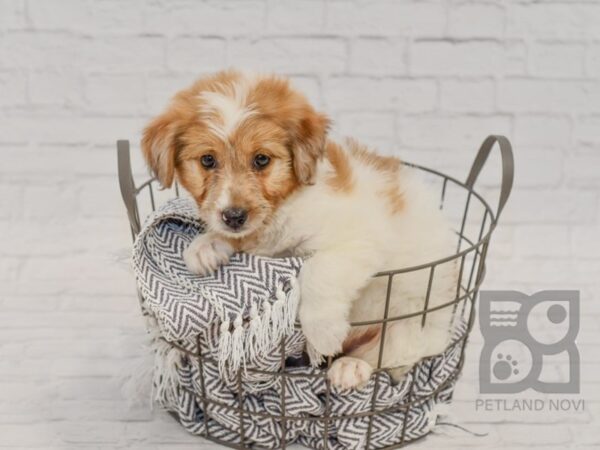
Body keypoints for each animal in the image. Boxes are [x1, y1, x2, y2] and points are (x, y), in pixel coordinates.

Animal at [143, 70, 458, 390]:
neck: (281, 211)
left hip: (409, 326)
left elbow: (317, 271)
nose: (234, 217)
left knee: (389, 359)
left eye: (261, 159)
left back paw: (351, 367)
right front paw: (206, 245)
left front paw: (323, 332)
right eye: (208, 160)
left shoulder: (357, 238)